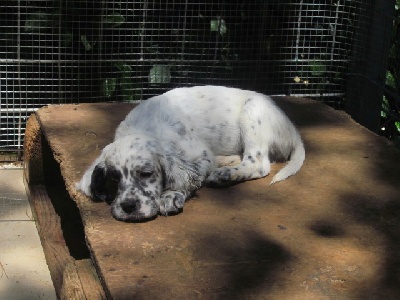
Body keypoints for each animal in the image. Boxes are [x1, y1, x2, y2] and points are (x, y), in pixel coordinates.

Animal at [76, 85, 306, 221]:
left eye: (146, 174)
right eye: (114, 179)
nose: (129, 206)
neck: (144, 128)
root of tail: (291, 129)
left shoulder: (200, 155)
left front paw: (171, 196)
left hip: (253, 111)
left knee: (258, 163)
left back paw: (225, 175)